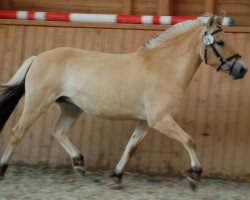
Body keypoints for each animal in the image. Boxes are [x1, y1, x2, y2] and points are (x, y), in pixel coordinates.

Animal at [0, 14, 247, 189]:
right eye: (221, 41)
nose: (242, 69)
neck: (164, 67)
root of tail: (38, 58)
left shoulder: (147, 122)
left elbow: (131, 147)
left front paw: (117, 176)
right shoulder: (160, 119)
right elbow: (189, 141)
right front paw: (195, 176)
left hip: (72, 107)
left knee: (58, 132)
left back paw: (79, 164)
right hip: (37, 104)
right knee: (17, 133)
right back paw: (3, 169)